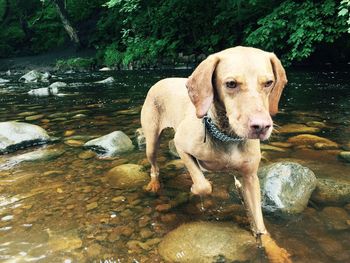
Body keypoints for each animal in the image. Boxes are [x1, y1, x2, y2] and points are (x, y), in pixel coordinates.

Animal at [141, 46, 292, 262]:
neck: (228, 137)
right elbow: (203, 186)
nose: (262, 127)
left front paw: (274, 250)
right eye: (231, 84)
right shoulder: (182, 146)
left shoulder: (250, 178)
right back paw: (155, 183)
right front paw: (194, 190)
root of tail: (160, 80)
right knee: (154, 166)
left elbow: (259, 222)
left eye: (269, 83)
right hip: (151, 140)